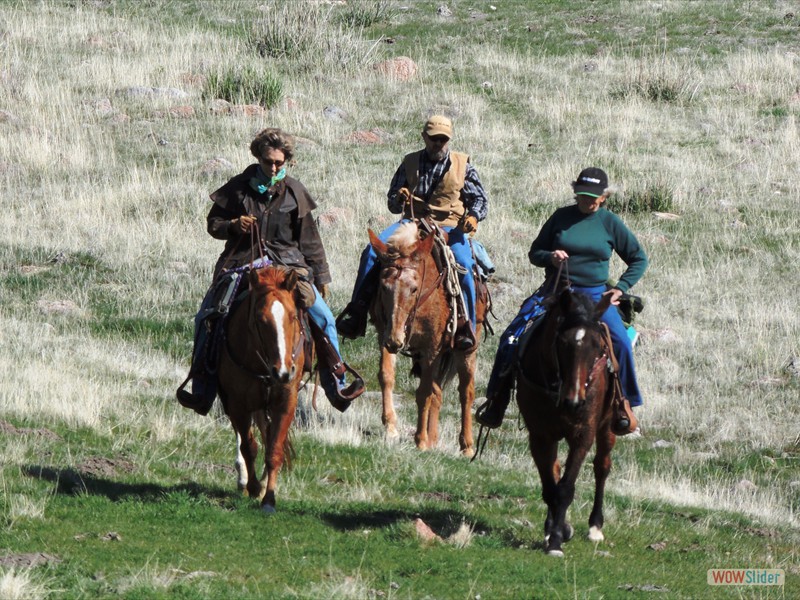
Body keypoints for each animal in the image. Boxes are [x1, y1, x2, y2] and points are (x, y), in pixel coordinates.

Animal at [216, 268, 306, 516]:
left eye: (293, 316)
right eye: (259, 319)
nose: (283, 372)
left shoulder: (286, 401)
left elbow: (274, 449)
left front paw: (269, 499)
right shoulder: (237, 404)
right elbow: (249, 446)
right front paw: (253, 486)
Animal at [366, 220, 484, 454]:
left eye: (413, 289)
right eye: (383, 286)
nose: (396, 340)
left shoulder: (432, 348)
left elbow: (424, 393)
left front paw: (419, 440)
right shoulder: (385, 334)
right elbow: (387, 376)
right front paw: (391, 427)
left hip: (466, 350)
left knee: (466, 392)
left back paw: (466, 446)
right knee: (438, 392)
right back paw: (433, 440)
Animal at [516, 288, 616, 556]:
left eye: (597, 345)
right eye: (562, 343)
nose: (575, 401)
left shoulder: (583, 435)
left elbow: (565, 488)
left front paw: (556, 541)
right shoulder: (540, 435)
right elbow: (551, 487)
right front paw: (556, 531)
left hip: (608, 426)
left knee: (602, 466)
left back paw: (595, 527)